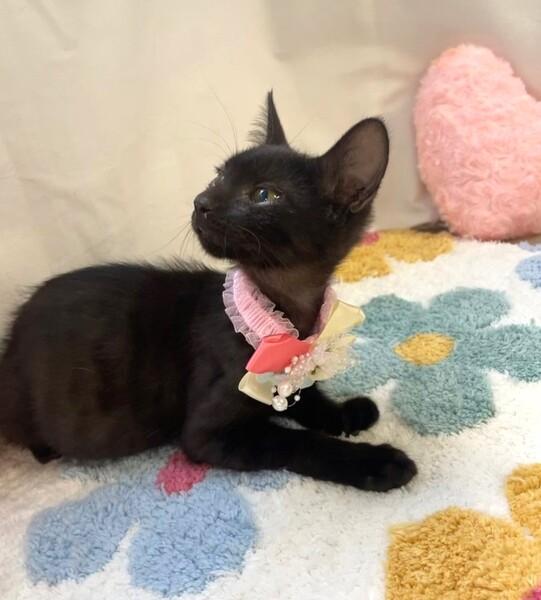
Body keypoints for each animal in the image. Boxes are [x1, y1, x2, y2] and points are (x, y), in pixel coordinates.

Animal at [0, 93, 416, 491]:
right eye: (219, 177)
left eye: (264, 194)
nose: (201, 202)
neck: (282, 313)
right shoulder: (207, 434)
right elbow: (296, 442)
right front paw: (376, 462)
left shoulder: (290, 370)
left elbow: (304, 398)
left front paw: (346, 413)